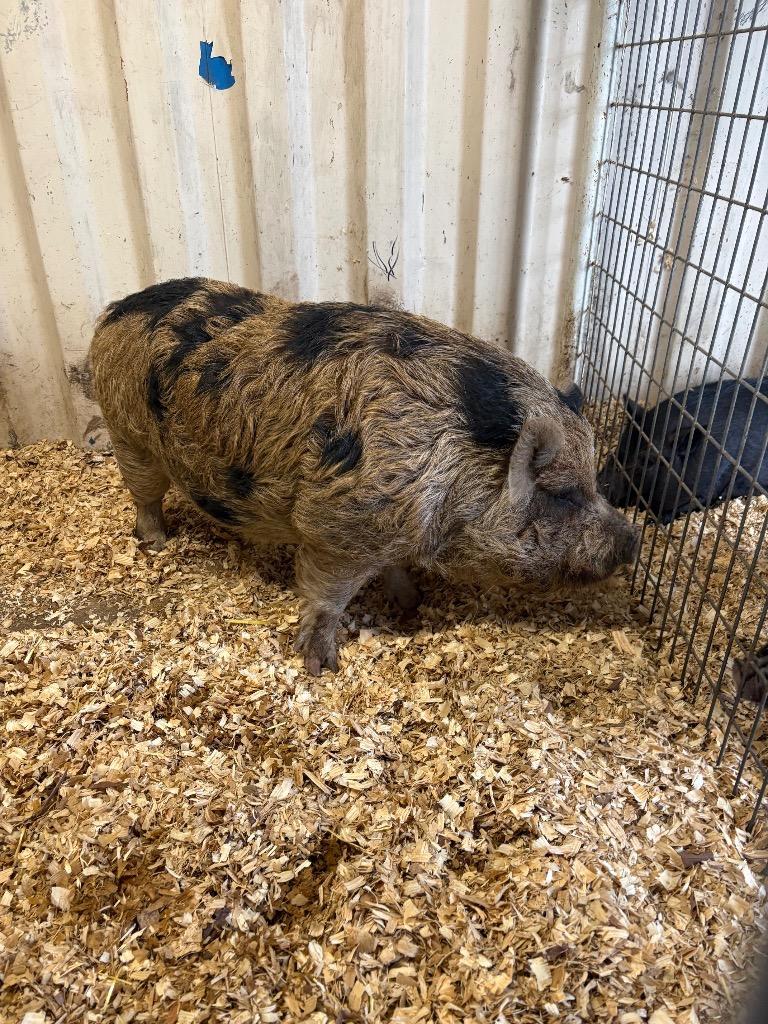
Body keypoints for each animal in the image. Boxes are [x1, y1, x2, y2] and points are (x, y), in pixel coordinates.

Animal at [90, 277, 639, 674]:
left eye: (594, 484)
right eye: (563, 493)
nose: (632, 539)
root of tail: (116, 310)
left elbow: (391, 570)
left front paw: (412, 603)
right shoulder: (336, 529)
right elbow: (325, 598)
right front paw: (321, 666)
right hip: (128, 432)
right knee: (144, 495)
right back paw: (157, 542)